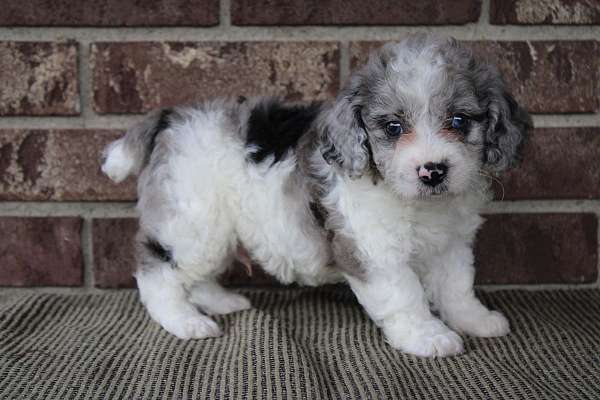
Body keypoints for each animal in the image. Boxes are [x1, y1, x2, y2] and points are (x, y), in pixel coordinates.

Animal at [102, 34, 528, 358]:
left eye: (459, 121)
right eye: (393, 127)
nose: (433, 170)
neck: (418, 205)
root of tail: (170, 118)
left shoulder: (452, 244)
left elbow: (457, 286)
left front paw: (476, 320)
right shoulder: (373, 249)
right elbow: (405, 295)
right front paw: (429, 336)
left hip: (213, 228)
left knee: (197, 273)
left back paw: (221, 301)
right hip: (192, 220)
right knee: (158, 273)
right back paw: (186, 321)